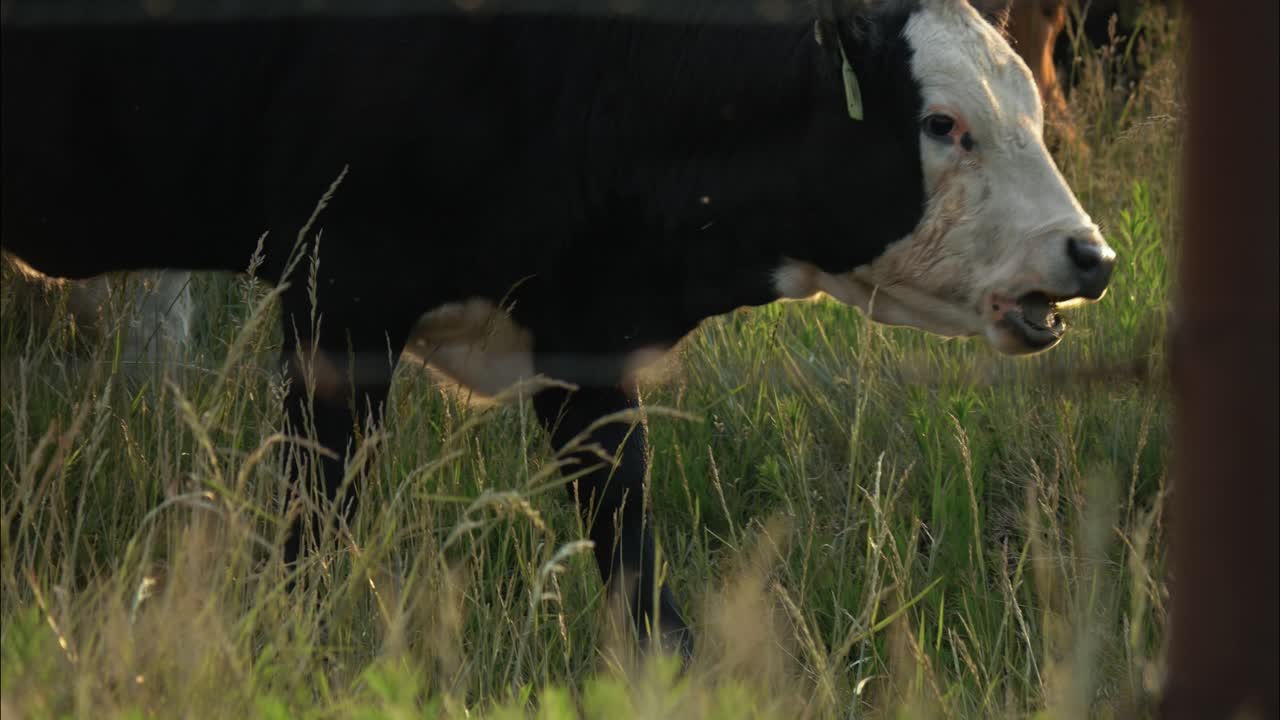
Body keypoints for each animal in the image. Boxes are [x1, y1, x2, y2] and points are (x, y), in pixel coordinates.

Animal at [1, 0, 1115, 656]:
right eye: (942, 124)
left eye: (1028, 107)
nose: (1089, 255)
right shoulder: (337, 302)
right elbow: (314, 528)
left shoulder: (583, 342)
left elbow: (632, 552)